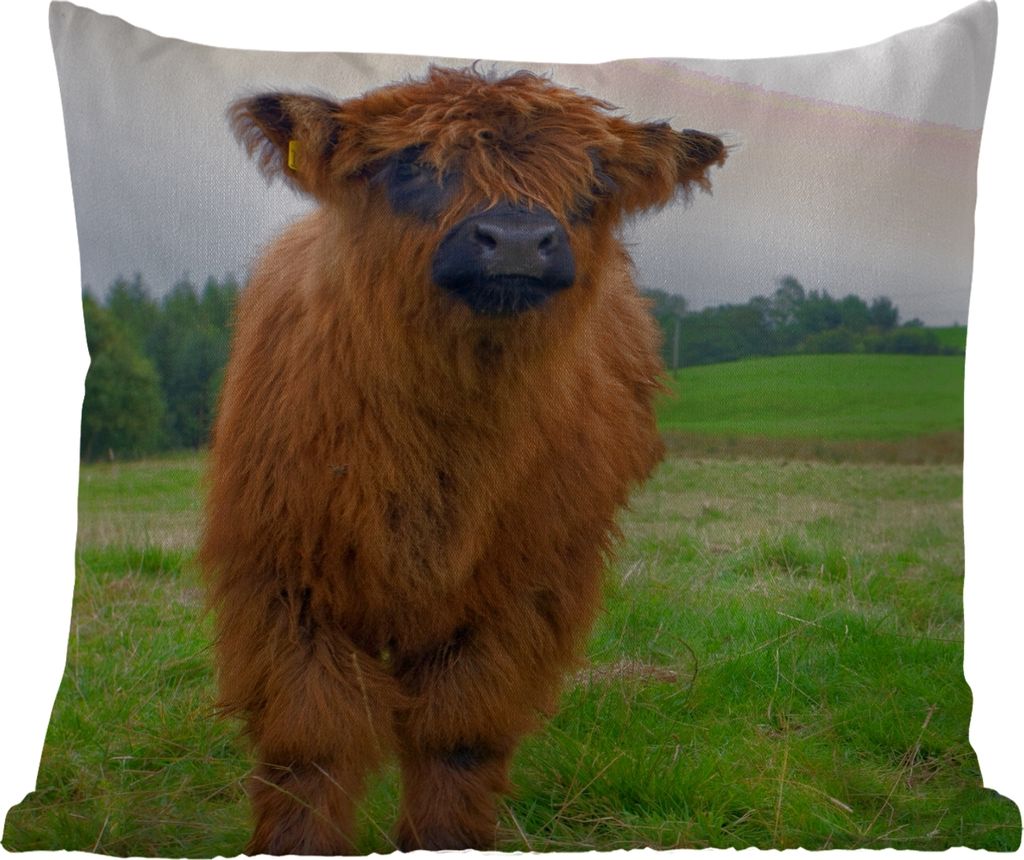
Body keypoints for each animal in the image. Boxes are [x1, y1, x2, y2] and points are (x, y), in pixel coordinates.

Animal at [200, 66, 725, 853]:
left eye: (594, 179)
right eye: (412, 167)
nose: (517, 240)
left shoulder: (519, 593)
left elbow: (458, 737)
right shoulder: (282, 583)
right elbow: (310, 743)